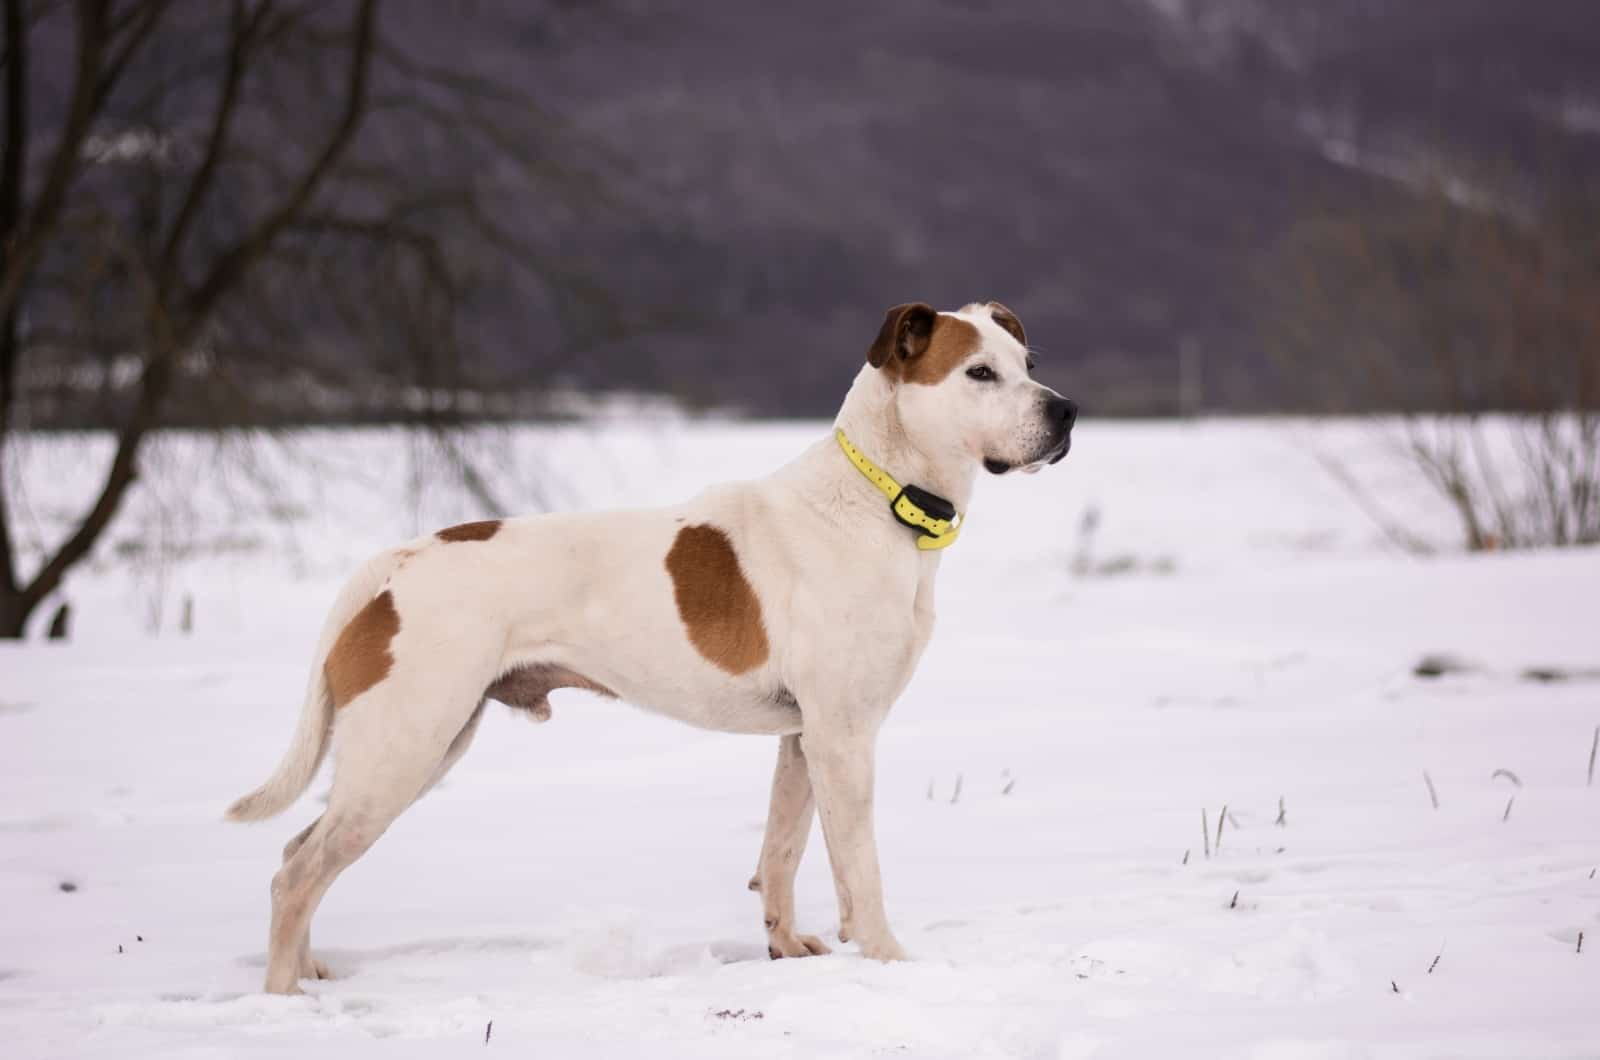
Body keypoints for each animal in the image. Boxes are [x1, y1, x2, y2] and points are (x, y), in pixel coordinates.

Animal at [228, 301, 1075, 999]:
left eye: (1029, 361)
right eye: (979, 372)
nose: (1066, 410)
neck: (879, 496)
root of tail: (392, 564)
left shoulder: (804, 738)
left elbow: (781, 850)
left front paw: (788, 949)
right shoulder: (843, 736)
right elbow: (857, 867)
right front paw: (889, 960)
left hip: (420, 743)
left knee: (297, 852)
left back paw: (308, 968)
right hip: (405, 746)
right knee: (296, 873)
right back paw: (283, 997)